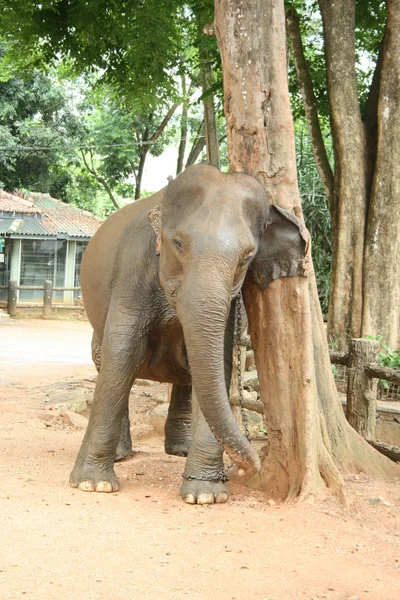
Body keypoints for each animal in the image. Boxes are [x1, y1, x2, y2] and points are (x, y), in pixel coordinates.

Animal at [69, 164, 310, 506]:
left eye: (246, 257)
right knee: (107, 361)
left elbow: (217, 364)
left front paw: (206, 494)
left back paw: (179, 451)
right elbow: (123, 352)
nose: (248, 466)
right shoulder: (133, 265)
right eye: (179, 244)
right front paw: (93, 484)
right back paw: (121, 455)